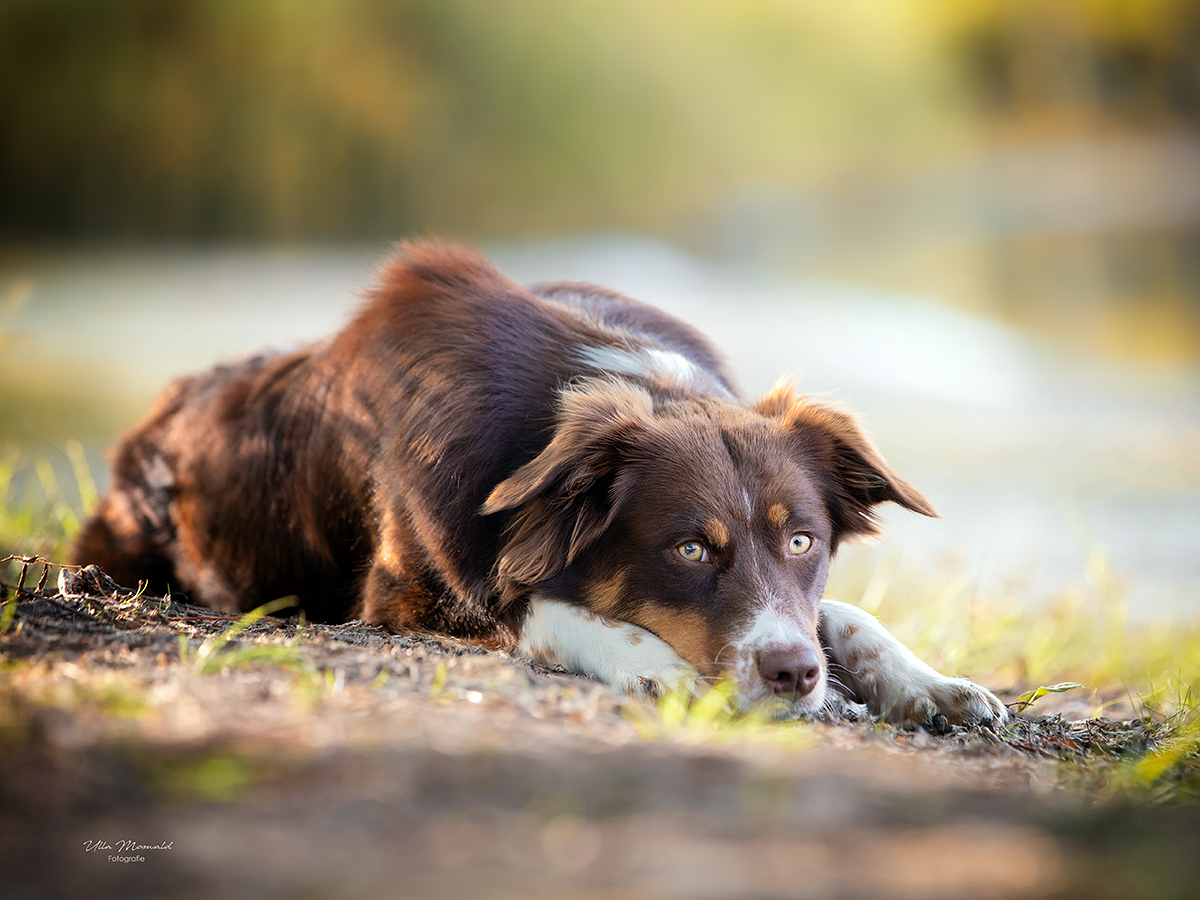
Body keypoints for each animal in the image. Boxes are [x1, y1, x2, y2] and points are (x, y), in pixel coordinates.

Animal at [75, 243, 1008, 729]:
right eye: (689, 549)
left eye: (804, 540)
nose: (794, 676)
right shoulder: (405, 593)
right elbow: (545, 606)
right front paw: (658, 667)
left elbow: (838, 611)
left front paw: (926, 682)